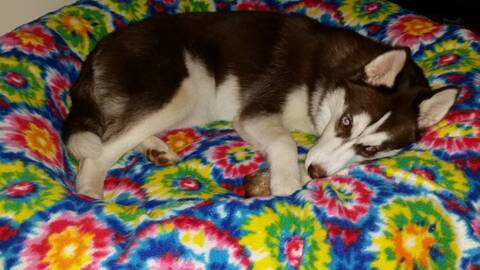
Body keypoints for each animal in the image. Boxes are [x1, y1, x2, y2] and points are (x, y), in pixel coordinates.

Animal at [62, 11, 460, 198]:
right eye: (346, 121)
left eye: (369, 149)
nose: (316, 172)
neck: (327, 75)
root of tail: (101, 45)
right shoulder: (254, 112)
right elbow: (284, 140)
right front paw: (287, 182)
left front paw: (296, 175)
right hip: (179, 88)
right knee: (102, 147)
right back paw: (90, 189)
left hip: (190, 102)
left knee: (120, 129)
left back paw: (155, 148)